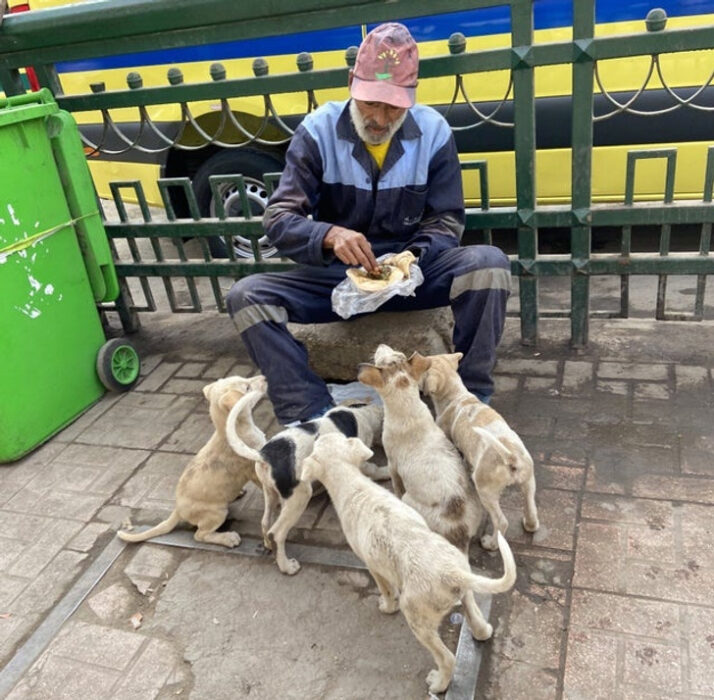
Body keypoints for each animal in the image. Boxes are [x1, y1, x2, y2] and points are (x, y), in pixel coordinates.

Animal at [117, 374, 268, 548]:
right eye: (247, 388)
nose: (265, 377)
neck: (233, 428)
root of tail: (178, 509)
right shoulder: (254, 469)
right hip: (217, 513)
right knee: (200, 535)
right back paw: (228, 538)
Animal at [227, 400, 384, 576]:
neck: (361, 413)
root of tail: (264, 455)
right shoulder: (360, 461)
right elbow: (376, 470)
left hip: (270, 492)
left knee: (265, 522)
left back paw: (268, 545)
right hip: (299, 495)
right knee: (277, 533)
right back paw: (287, 566)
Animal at [298, 432, 516, 696]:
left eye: (318, 442)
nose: (318, 431)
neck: (353, 484)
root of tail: (452, 572)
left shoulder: (371, 564)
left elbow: (385, 589)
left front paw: (386, 606)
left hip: (416, 616)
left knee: (447, 659)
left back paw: (438, 683)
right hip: (464, 592)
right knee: (478, 622)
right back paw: (482, 631)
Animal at [356, 344, 478, 552]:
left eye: (380, 361)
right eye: (399, 353)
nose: (380, 345)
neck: (408, 406)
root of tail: (459, 533)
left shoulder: (392, 464)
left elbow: (396, 485)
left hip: (409, 499)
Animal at [418, 352, 540, 548]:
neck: (457, 395)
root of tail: (510, 457)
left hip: (486, 491)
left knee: (501, 522)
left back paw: (490, 544)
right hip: (528, 481)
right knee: (531, 508)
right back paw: (529, 525)